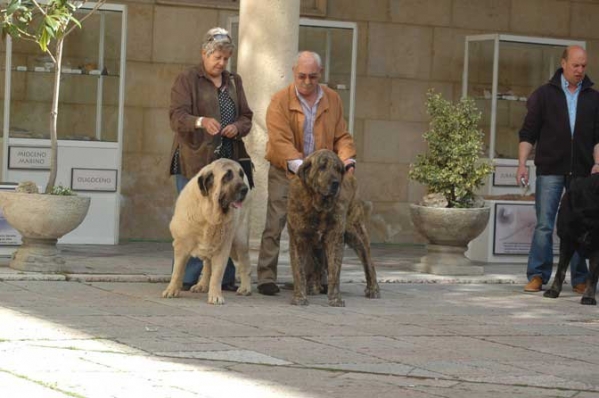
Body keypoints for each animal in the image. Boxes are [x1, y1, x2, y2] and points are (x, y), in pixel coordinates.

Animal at [161, 159, 252, 304]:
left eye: (241, 174)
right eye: (227, 176)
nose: (244, 189)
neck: (209, 214)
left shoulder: (222, 248)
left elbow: (217, 275)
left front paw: (216, 295)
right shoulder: (181, 245)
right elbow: (177, 271)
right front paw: (171, 290)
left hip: (240, 239)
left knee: (245, 263)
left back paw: (245, 288)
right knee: (207, 264)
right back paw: (202, 285)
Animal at [288, 149, 382, 308]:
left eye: (338, 169)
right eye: (322, 167)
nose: (335, 183)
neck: (318, 206)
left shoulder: (335, 238)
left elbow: (334, 271)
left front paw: (335, 299)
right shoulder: (298, 238)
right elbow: (299, 270)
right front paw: (300, 298)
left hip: (356, 233)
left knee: (369, 262)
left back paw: (373, 289)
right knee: (316, 264)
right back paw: (313, 287)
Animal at [544, 174, 599, 304]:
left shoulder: (596, 244)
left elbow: (592, 275)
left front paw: (588, 297)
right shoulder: (566, 239)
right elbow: (560, 270)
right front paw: (553, 291)